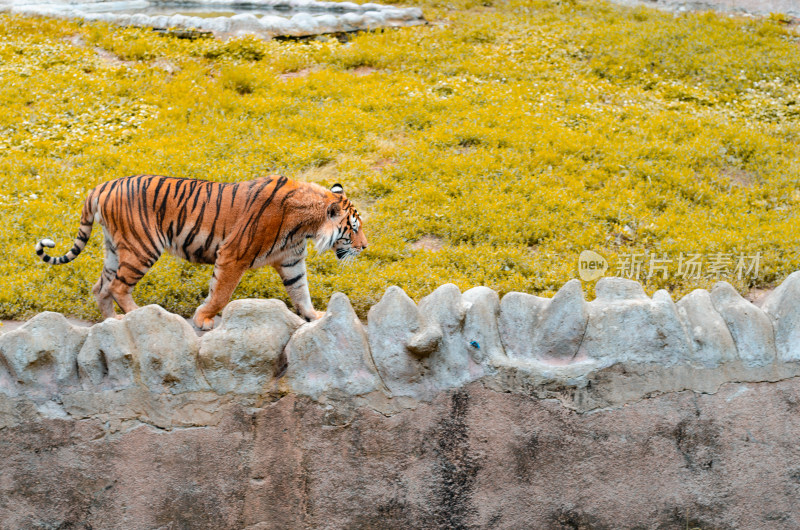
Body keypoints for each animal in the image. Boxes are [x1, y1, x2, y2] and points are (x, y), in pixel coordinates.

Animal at [34, 175, 366, 328]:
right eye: (352, 228)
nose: (365, 247)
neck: (306, 226)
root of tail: (101, 186)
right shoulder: (233, 255)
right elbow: (220, 293)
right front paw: (204, 319)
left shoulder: (292, 261)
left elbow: (301, 291)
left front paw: (314, 315)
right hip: (142, 247)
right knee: (117, 287)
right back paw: (137, 314)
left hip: (115, 249)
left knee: (100, 286)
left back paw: (112, 322)